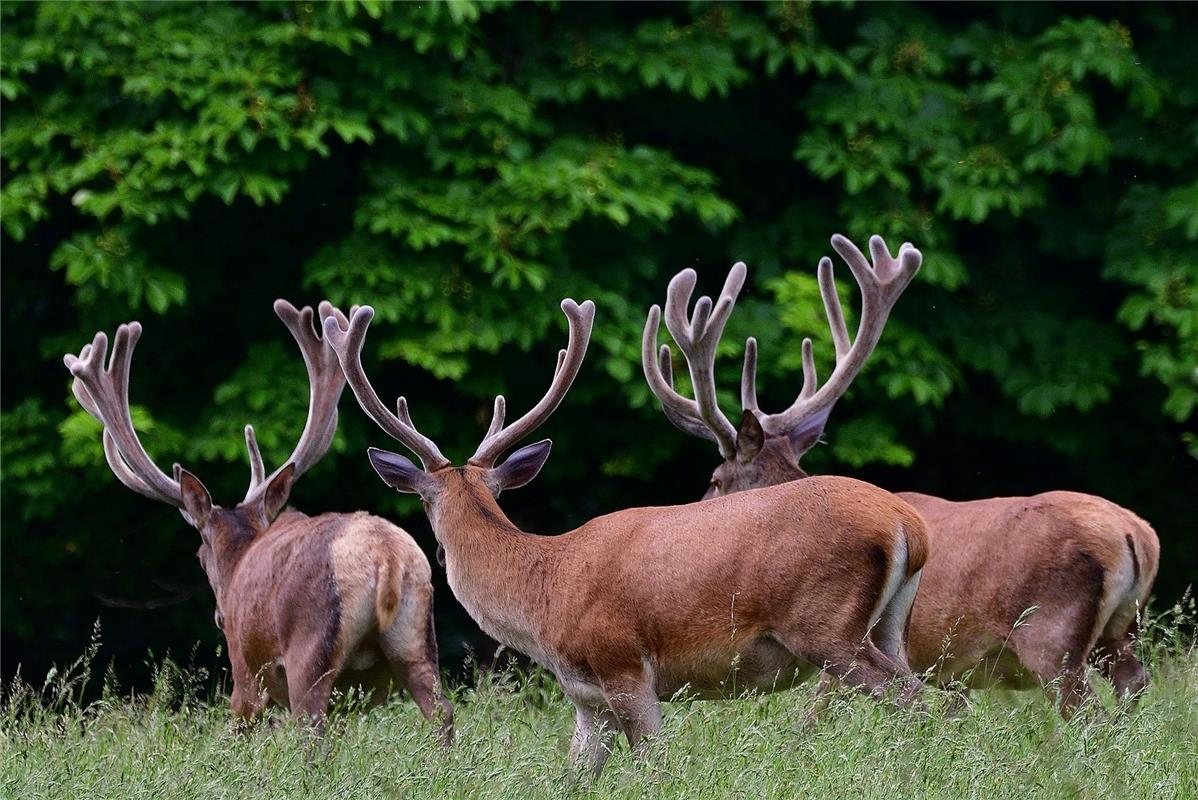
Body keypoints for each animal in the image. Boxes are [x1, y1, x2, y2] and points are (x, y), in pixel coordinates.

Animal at [64, 301, 452, 742]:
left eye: (200, 555)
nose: (219, 615)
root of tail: (386, 559)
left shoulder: (244, 671)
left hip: (308, 652)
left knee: (313, 730)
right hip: (417, 637)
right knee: (442, 711)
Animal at [323, 295, 929, 776]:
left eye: (425, 503)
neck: (545, 594)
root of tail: (908, 525)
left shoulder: (623, 665)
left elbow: (656, 767)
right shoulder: (586, 699)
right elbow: (574, 776)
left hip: (825, 624)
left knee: (916, 698)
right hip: (889, 626)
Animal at [646, 231, 1159, 713]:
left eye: (715, 480)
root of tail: (1137, 535)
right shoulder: (948, 673)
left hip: (1050, 634)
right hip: (1117, 633)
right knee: (1134, 680)